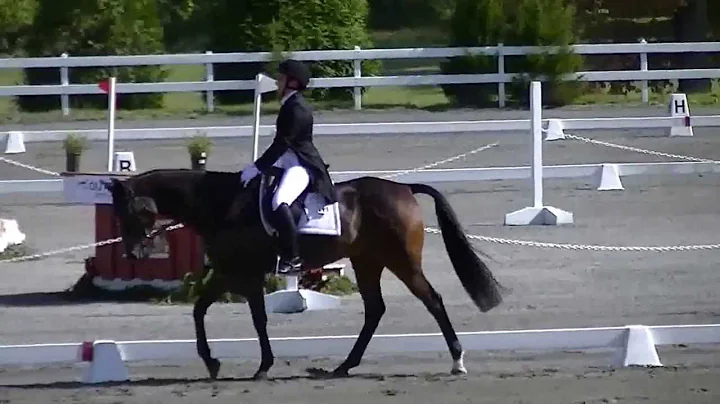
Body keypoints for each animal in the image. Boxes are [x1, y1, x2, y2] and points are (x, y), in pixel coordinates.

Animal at [111, 169, 506, 380]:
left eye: (129, 212)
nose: (133, 253)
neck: (221, 205)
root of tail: (403, 188)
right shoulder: (232, 273)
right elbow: (204, 311)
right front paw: (216, 363)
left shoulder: (241, 273)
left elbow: (250, 318)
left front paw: (254, 366)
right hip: (367, 262)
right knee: (375, 310)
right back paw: (345, 365)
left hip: (402, 262)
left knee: (432, 301)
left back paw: (457, 361)